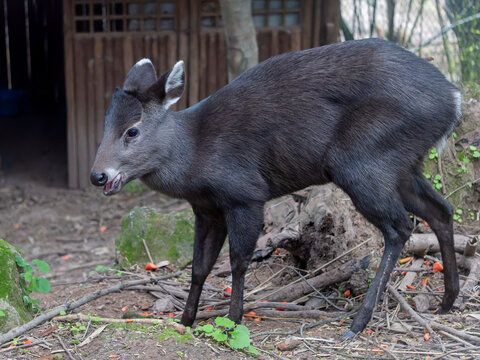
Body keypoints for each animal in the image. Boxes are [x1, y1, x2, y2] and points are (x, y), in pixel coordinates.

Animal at [90, 38, 462, 338]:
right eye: (105, 125)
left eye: (132, 130)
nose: (98, 176)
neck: (195, 154)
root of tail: (454, 100)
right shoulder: (206, 209)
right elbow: (199, 267)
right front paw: (185, 322)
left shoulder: (244, 194)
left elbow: (238, 261)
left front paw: (233, 321)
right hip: (401, 164)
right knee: (441, 210)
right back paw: (447, 301)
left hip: (364, 159)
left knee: (400, 227)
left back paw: (358, 323)